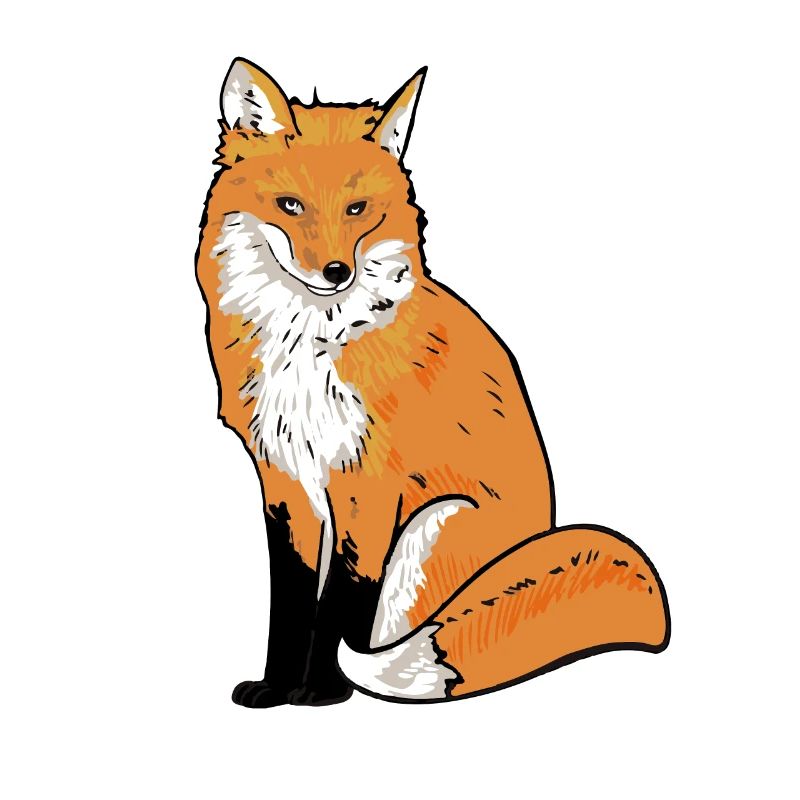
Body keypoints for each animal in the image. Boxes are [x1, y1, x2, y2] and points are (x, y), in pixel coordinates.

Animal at [195, 58, 670, 707]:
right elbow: (291, 603)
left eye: (357, 210)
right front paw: (276, 688)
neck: (309, 347)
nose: (337, 272)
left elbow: (341, 602)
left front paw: (320, 691)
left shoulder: (369, 487)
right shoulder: (285, 483)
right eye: (290, 205)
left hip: (433, 522)